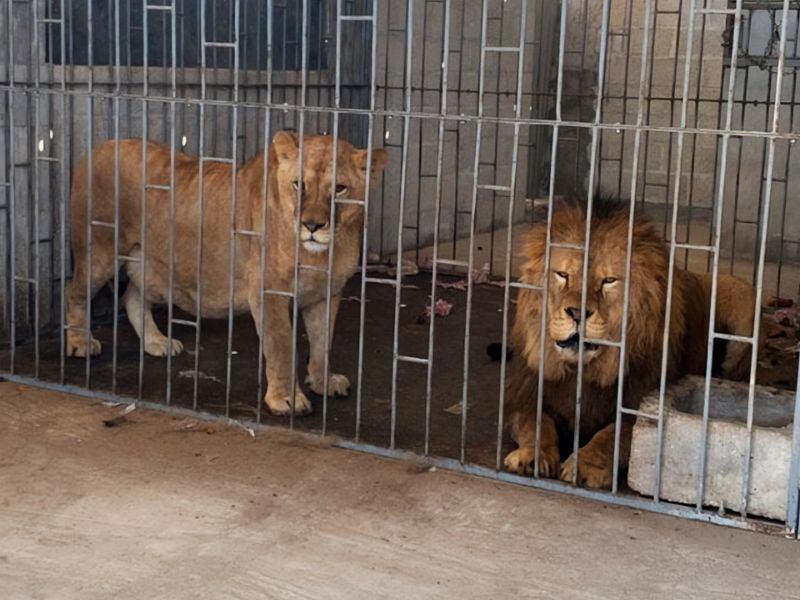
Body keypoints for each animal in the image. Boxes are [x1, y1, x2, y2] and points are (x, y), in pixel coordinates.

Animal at [65, 134, 388, 414]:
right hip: (100, 252)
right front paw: (286, 399)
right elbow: (281, 346)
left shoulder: (326, 294)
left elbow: (323, 344)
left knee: (132, 296)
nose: (311, 225)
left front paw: (323, 382)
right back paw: (80, 343)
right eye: (299, 185)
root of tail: (98, 148)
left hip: (151, 266)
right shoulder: (268, 292)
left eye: (340, 188)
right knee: (75, 292)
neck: (320, 254)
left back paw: (156, 342)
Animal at [506, 199, 756, 490]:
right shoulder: (527, 394)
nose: (577, 314)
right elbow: (534, 423)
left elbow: (612, 436)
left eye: (609, 281)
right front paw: (531, 456)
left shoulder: (637, 403)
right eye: (563, 275)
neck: (586, 372)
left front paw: (585, 465)